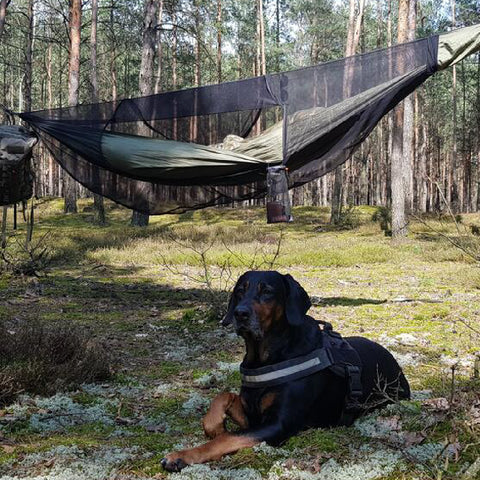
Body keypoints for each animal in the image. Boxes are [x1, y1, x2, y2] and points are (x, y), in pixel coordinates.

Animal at [161, 272, 408, 470]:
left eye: (267, 291)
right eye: (240, 291)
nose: (240, 314)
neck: (264, 357)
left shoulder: (278, 424)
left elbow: (226, 438)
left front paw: (181, 455)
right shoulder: (252, 415)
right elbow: (223, 396)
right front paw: (214, 424)